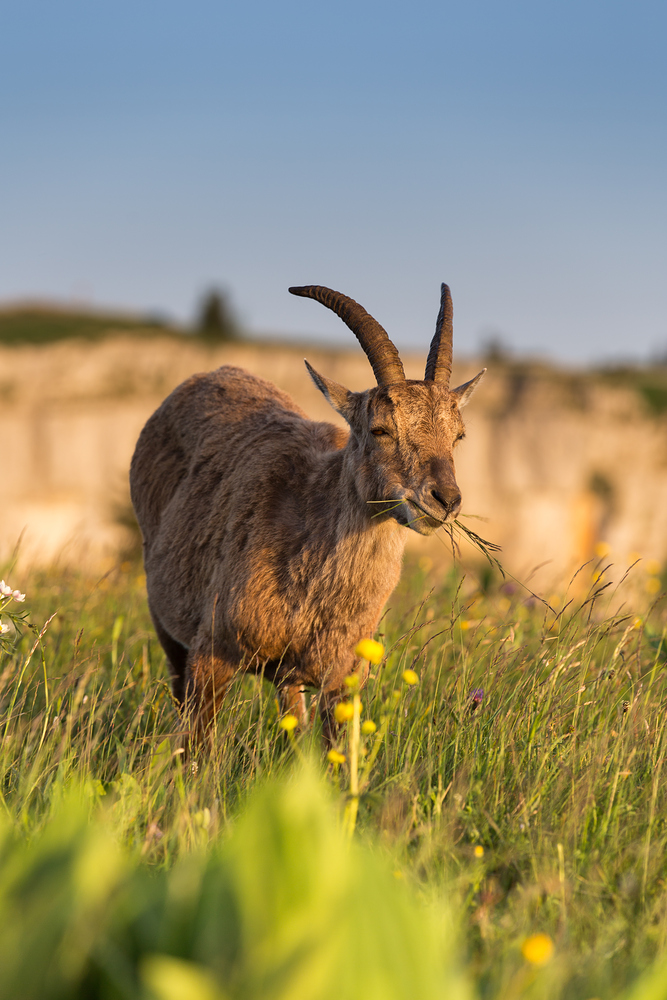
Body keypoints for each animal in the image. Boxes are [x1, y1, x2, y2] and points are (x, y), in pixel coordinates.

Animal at [130, 282, 486, 744]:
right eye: (380, 429)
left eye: (457, 435)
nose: (445, 498)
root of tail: (208, 374)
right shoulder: (211, 655)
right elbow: (197, 747)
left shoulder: (342, 680)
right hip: (165, 618)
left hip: (287, 679)